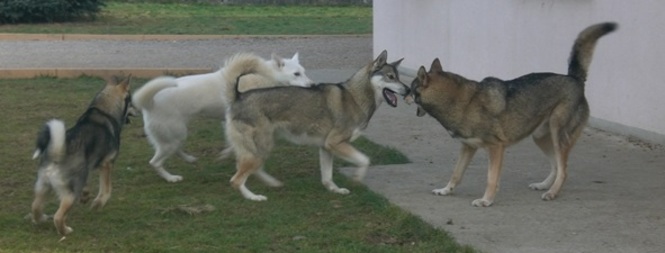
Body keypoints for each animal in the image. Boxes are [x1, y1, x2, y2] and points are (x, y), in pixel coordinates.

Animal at [31, 75, 134, 237]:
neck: (105, 110)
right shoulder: (107, 164)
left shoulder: (86, 169)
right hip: (70, 194)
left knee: (35, 206)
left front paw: (86, 197)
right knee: (58, 217)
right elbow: (106, 189)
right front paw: (98, 204)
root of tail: (56, 155)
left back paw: (41, 218)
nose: (137, 110)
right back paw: (65, 230)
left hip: (43, 187)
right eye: (131, 101)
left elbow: (88, 187)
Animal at [134, 52, 316, 182]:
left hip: (176, 135)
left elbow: (230, 143)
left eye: (304, 72)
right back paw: (171, 178)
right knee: (155, 162)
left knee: (175, 149)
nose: (312, 85)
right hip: (173, 135)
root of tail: (148, 102)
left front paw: (226, 154)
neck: (266, 75)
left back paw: (190, 159)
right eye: (296, 74)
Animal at [224, 50, 410, 201]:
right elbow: (365, 160)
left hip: (260, 148)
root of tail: (238, 96)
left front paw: (335, 190)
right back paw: (254, 197)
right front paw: (357, 179)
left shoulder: (326, 147)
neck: (355, 97)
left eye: (398, 77)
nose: (409, 90)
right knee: (236, 180)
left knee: (248, 170)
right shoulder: (335, 143)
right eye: (390, 77)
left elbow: (327, 177)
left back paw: (272, 183)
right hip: (260, 149)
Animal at [404, 22, 616, 207]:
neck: (463, 102)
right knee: (556, 166)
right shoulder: (467, 148)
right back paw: (543, 186)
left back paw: (552, 193)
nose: (403, 93)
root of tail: (574, 79)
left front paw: (486, 201)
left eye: (411, 89)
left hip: (557, 135)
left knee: (563, 171)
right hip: (541, 138)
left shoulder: (496, 148)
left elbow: (491, 179)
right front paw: (445, 190)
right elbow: (456, 174)